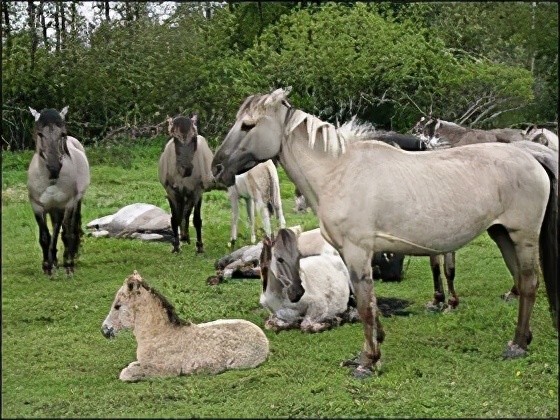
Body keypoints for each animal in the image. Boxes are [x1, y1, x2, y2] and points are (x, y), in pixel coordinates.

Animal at [26, 106, 89, 274]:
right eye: (40, 134)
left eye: (63, 134)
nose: (54, 168)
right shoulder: (37, 207)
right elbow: (44, 236)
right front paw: (47, 265)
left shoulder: (67, 205)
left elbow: (66, 233)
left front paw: (68, 264)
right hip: (53, 208)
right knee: (54, 229)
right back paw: (53, 260)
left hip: (70, 204)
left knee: (67, 229)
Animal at [101, 270, 270, 382]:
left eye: (117, 306)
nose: (104, 330)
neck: (158, 335)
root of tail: (265, 340)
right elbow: (131, 366)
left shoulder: (165, 370)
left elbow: (126, 374)